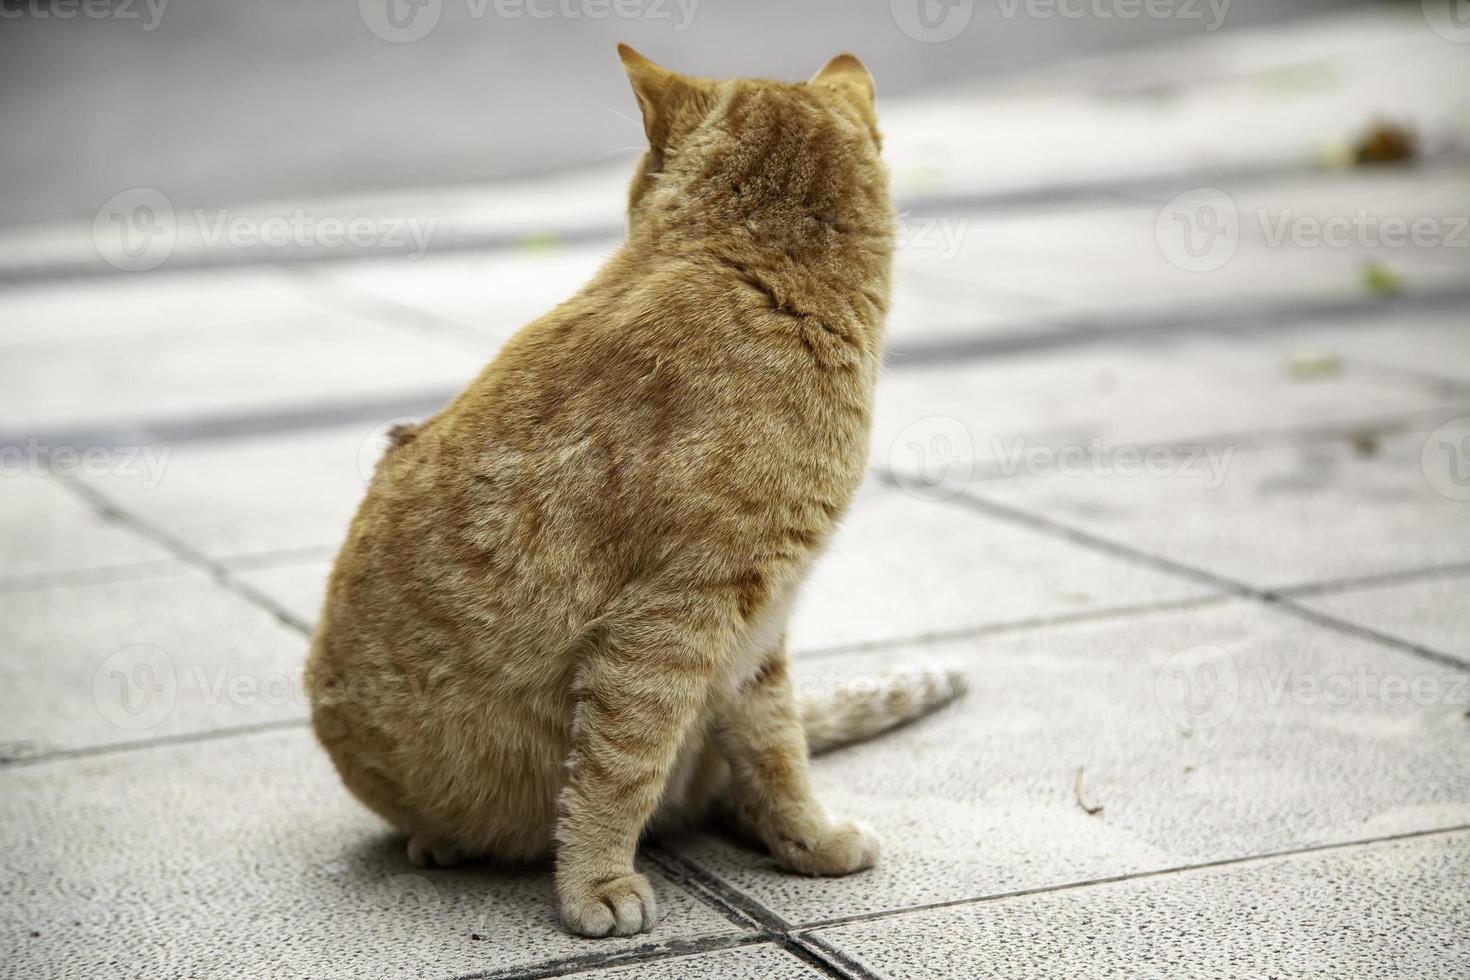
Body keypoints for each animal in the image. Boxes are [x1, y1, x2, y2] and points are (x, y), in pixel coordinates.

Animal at [304, 45, 964, 934]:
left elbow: (777, 749)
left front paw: (807, 840)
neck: (756, 277)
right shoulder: (670, 625)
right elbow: (620, 772)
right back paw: (443, 840)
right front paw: (596, 884)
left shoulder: (757, 629)